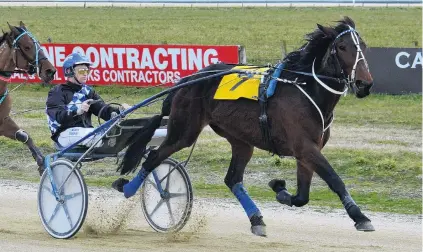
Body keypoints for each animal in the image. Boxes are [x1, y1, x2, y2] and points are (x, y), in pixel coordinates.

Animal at [0, 21, 56, 174]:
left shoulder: (3, 121)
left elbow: (24, 136)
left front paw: (41, 162)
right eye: (27, 47)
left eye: (38, 44)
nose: (50, 71)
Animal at [115, 16, 374, 236]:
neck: (306, 88)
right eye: (342, 47)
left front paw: (279, 189)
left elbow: (302, 196)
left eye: (363, 46)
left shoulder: (308, 151)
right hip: (184, 131)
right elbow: (334, 179)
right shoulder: (305, 147)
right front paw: (360, 217)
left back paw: (256, 219)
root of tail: (188, 80)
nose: (364, 84)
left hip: (240, 140)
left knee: (232, 179)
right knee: (154, 157)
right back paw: (128, 189)